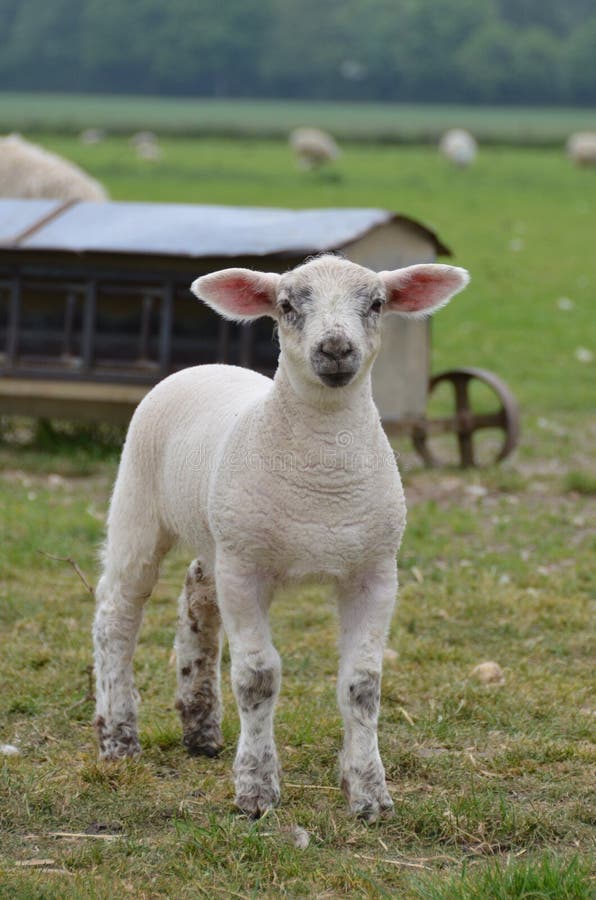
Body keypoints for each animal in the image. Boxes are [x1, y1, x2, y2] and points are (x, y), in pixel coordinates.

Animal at [93, 254, 469, 819]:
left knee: (197, 594)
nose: (335, 349)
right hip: (139, 505)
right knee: (116, 616)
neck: (323, 475)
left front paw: (369, 794)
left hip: (221, 534)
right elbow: (257, 676)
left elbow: (363, 684)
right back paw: (117, 736)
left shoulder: (375, 573)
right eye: (287, 305)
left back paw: (199, 726)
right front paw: (255, 790)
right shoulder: (246, 573)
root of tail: (205, 366)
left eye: (376, 303)